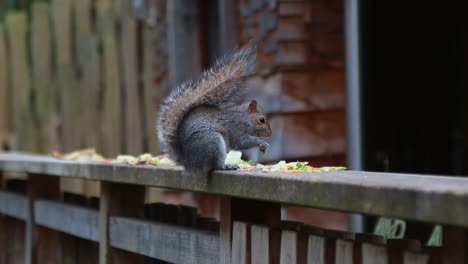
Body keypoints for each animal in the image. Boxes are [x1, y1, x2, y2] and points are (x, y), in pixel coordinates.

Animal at [159, 44, 272, 175]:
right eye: (261, 120)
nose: (270, 133)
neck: (244, 116)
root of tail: (188, 162)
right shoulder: (236, 127)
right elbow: (241, 141)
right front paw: (261, 142)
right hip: (212, 142)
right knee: (215, 166)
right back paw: (226, 166)